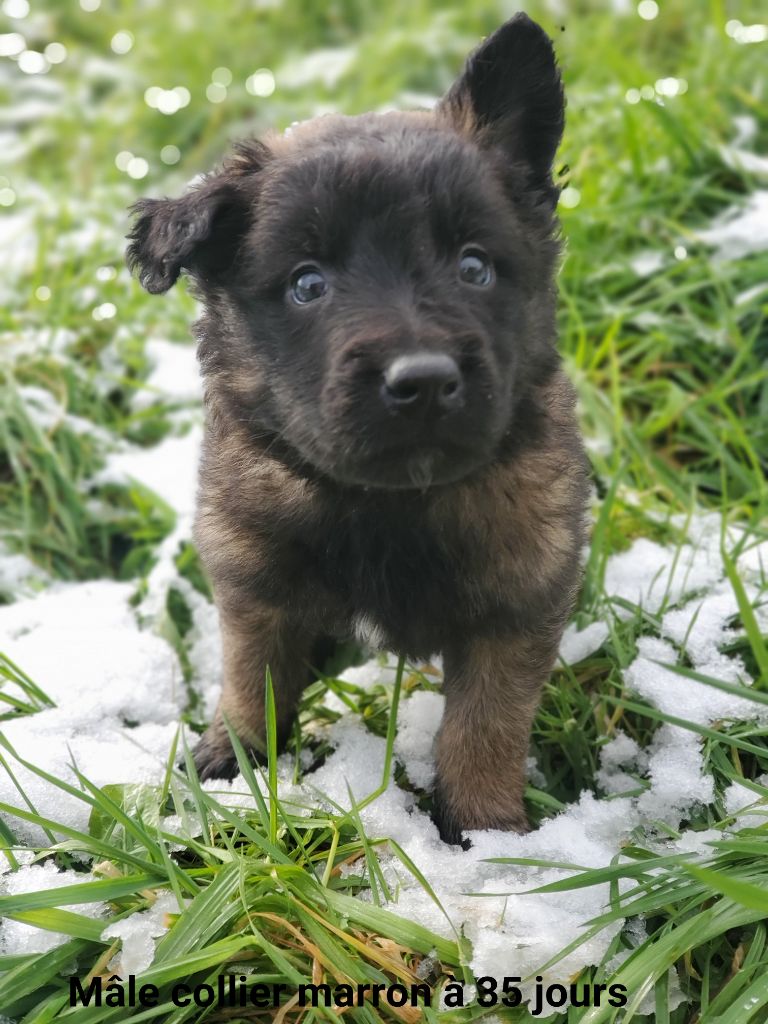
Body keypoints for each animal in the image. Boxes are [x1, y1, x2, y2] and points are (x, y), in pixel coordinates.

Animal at [126, 16, 589, 843]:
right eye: (308, 284)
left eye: (475, 267)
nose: (424, 381)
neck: (388, 504)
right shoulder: (256, 588)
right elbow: (252, 680)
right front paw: (232, 766)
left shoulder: (517, 607)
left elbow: (484, 728)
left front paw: (483, 835)